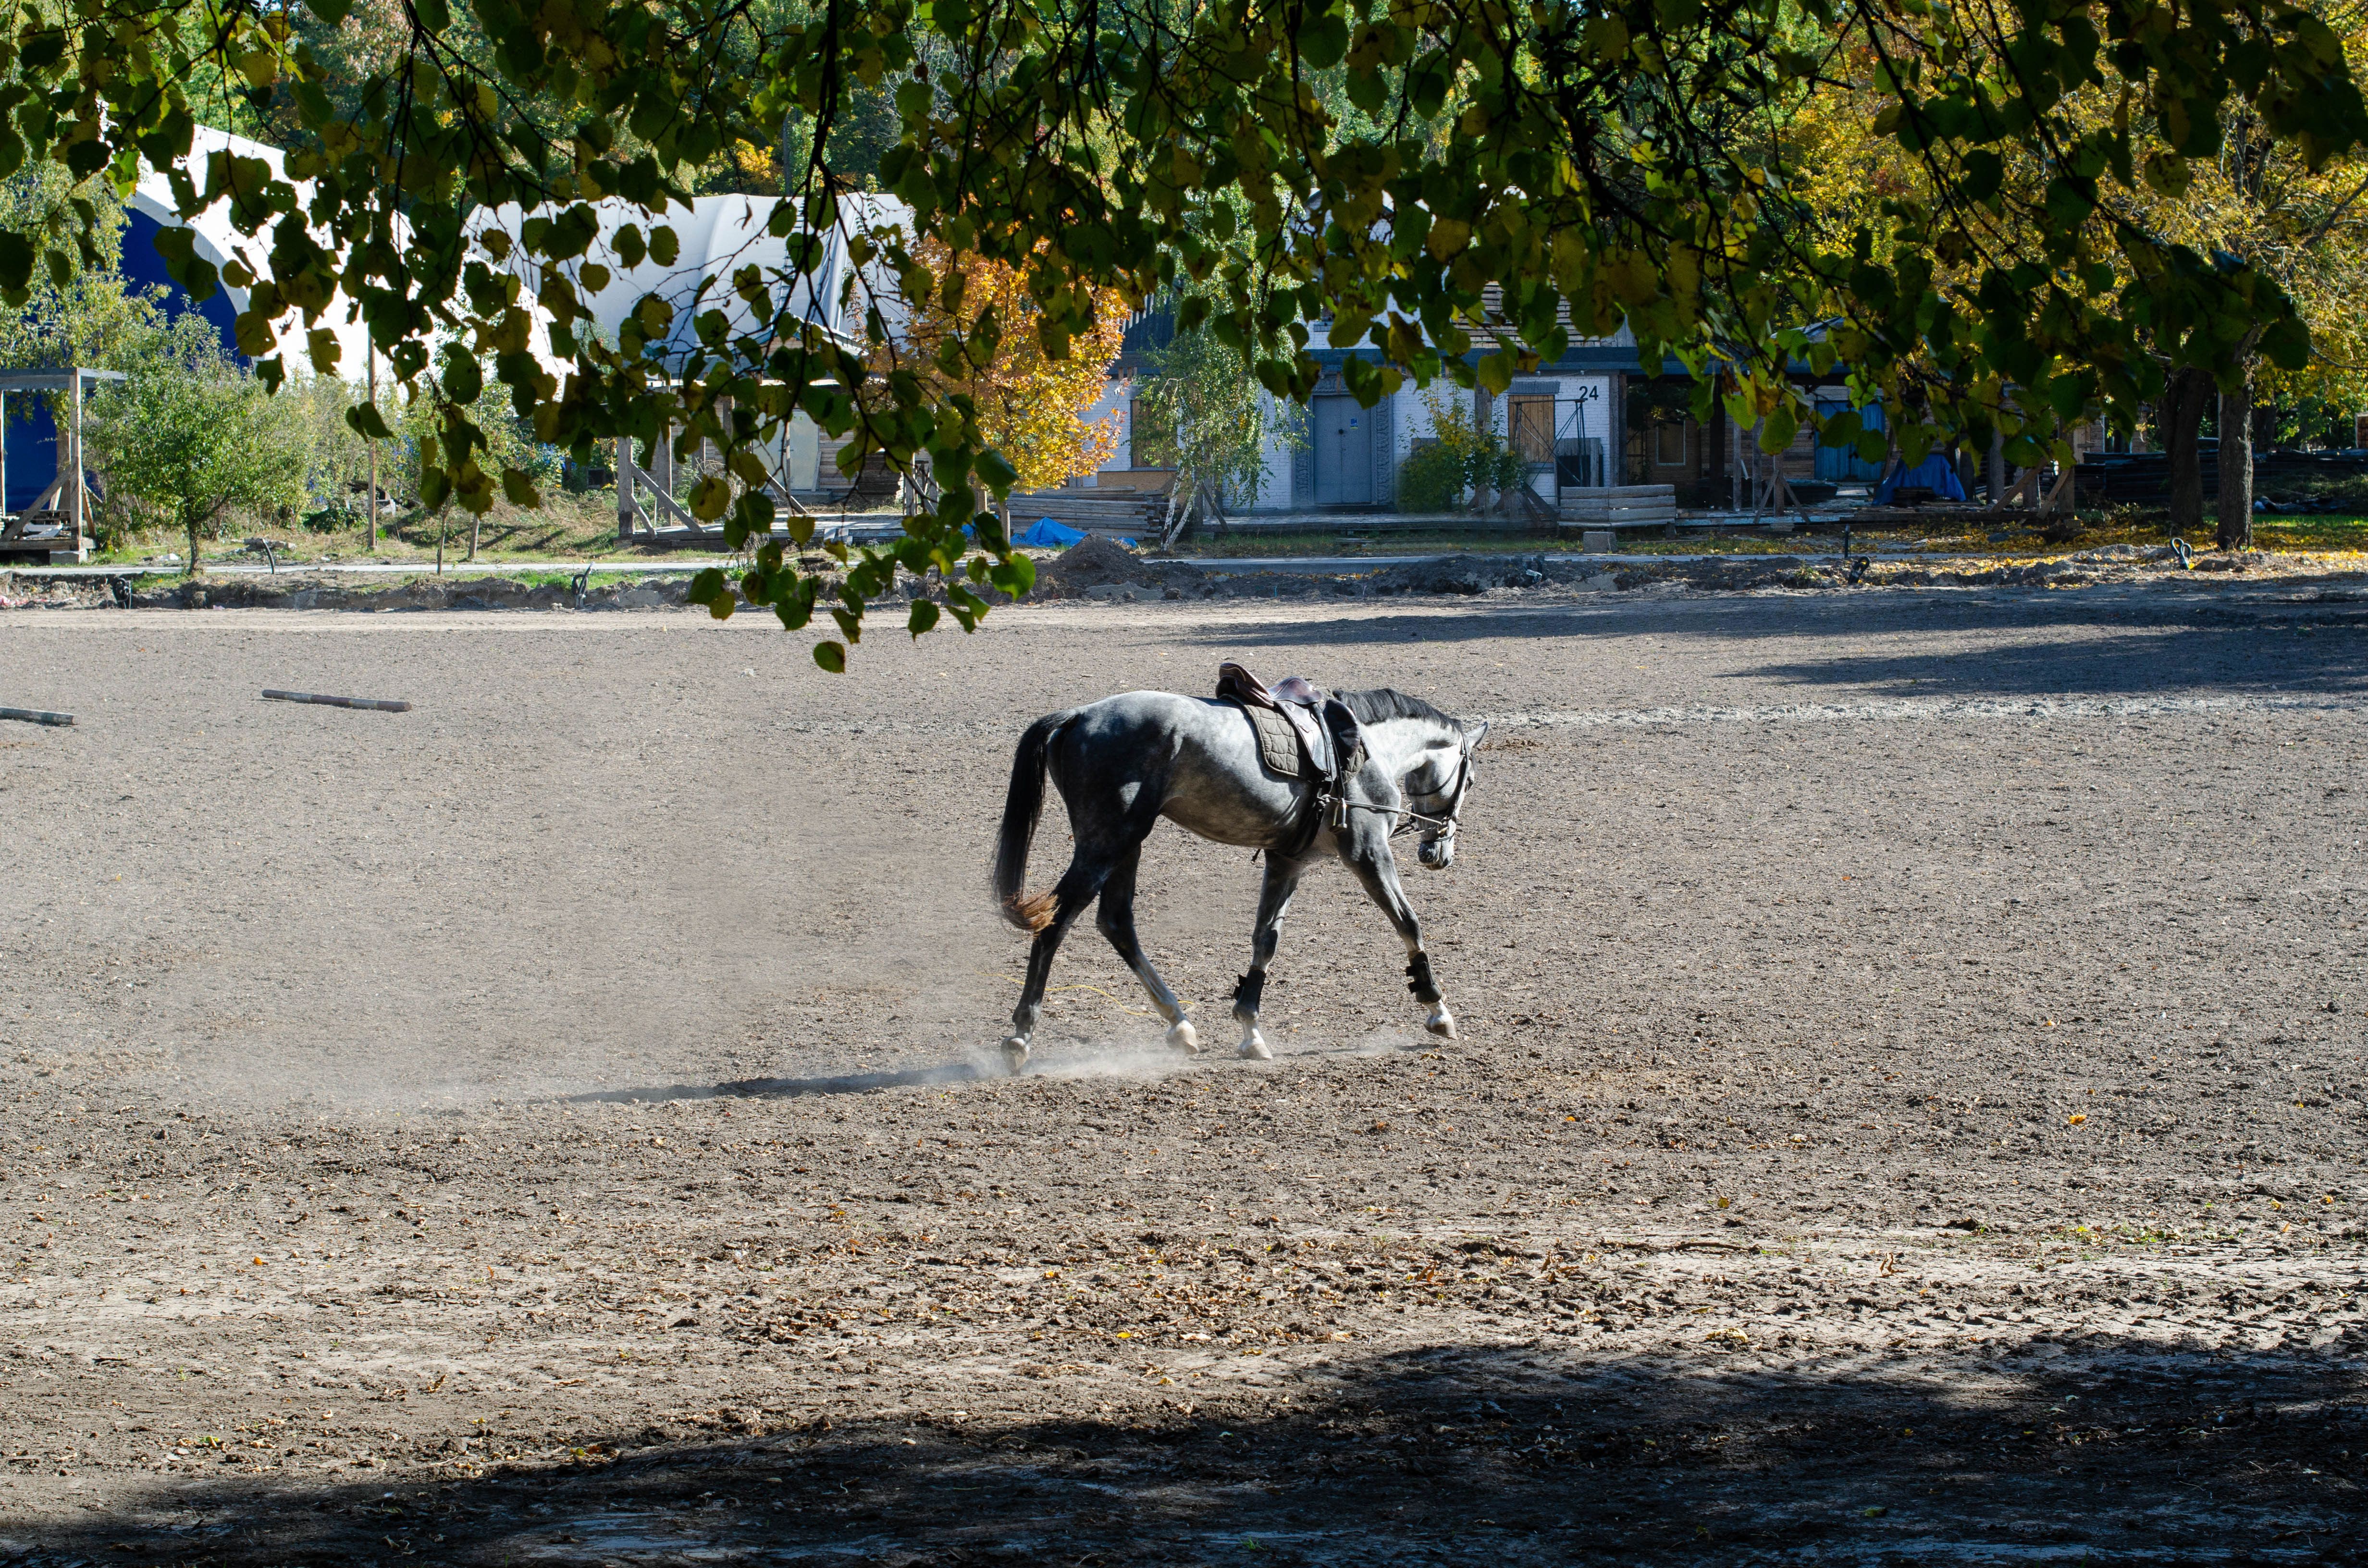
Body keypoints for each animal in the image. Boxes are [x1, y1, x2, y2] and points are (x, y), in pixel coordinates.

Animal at [990, 684, 1485, 1073]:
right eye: (1471, 780)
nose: (1437, 853)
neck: (1368, 749)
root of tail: (1078, 715)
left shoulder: (1287, 862)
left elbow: (1265, 940)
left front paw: (1250, 1028)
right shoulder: (1368, 854)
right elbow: (1409, 923)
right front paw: (1436, 1007)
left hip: (1126, 843)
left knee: (1116, 923)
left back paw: (1181, 1025)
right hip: (1107, 842)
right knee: (1056, 923)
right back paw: (1020, 1037)